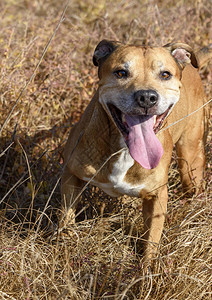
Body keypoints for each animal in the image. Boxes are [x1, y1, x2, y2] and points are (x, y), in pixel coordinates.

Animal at [60, 39, 211, 260]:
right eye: (121, 73)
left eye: (165, 74)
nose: (146, 97)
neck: (123, 148)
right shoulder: (71, 176)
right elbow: (65, 218)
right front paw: (63, 246)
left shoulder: (157, 197)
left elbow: (151, 244)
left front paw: (146, 269)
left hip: (190, 159)